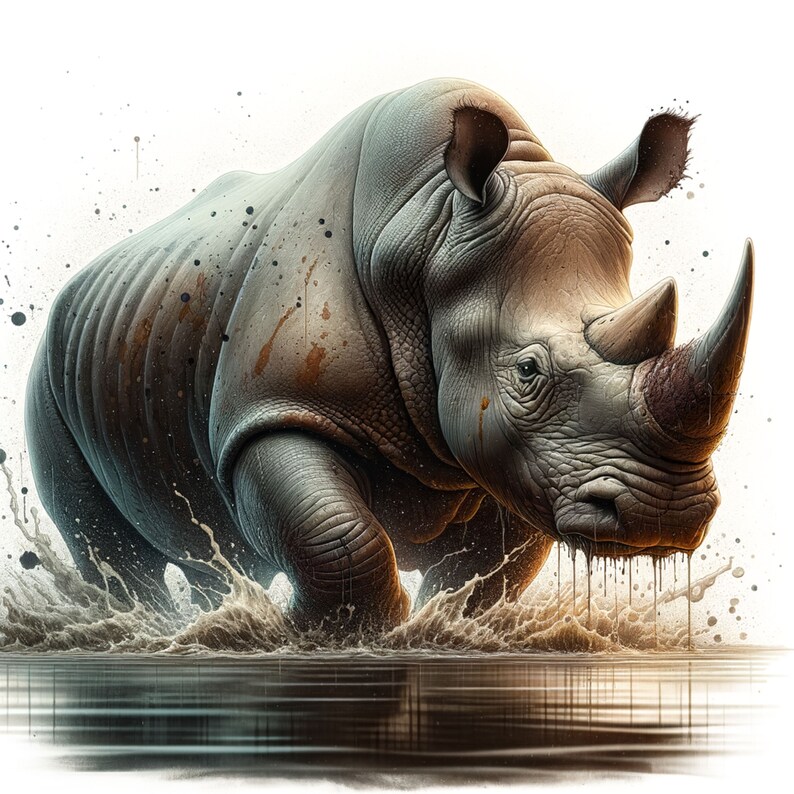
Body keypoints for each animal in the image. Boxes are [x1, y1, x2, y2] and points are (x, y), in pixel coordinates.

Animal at [25, 78, 753, 629]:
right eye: (528, 370)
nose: (667, 514)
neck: (428, 231)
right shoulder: (272, 410)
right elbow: (338, 540)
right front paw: (322, 634)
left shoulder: (525, 459)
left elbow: (486, 575)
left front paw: (444, 630)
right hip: (46, 373)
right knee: (113, 552)